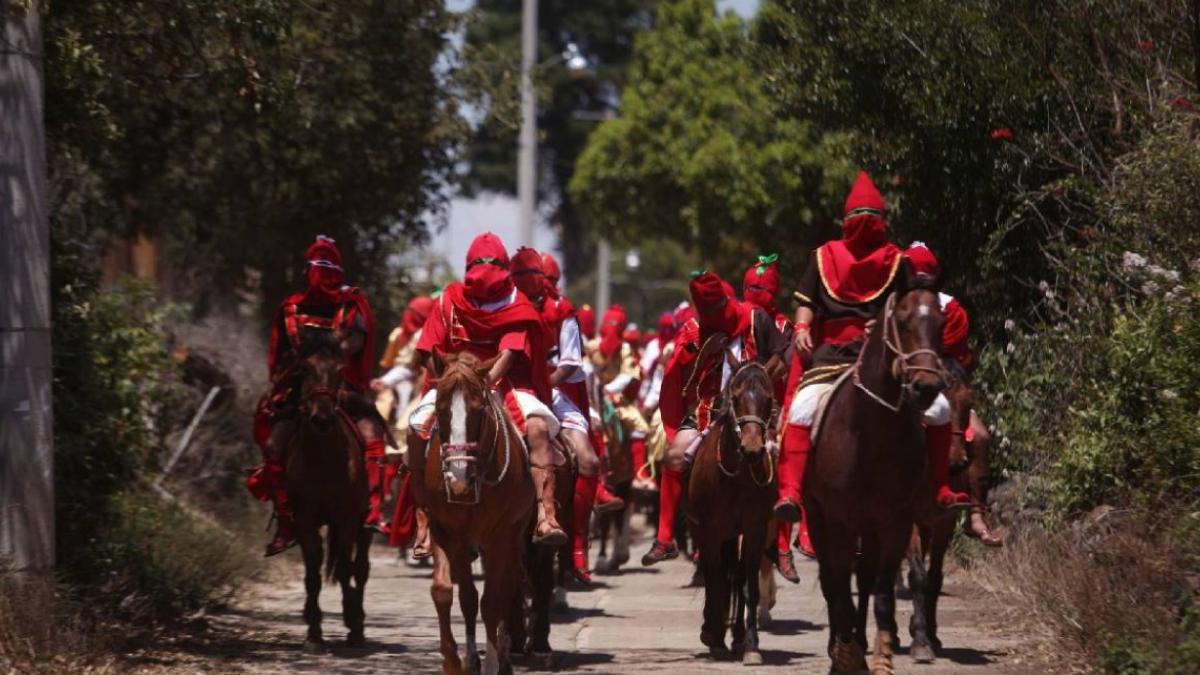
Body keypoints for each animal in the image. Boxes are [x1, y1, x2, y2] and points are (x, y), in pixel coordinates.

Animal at [284, 338, 369, 648]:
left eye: (340, 369)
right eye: (305, 368)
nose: (321, 418)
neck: (324, 461)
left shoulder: (346, 519)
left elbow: (345, 568)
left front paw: (353, 622)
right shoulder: (304, 519)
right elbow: (312, 570)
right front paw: (314, 628)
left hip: (364, 526)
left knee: (360, 569)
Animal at [422, 353, 535, 672]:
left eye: (479, 411)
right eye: (440, 409)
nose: (458, 479)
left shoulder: (499, 538)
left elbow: (492, 601)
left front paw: (492, 662)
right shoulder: (445, 531)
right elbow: (448, 593)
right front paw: (455, 660)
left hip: (513, 539)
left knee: (508, 588)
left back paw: (505, 654)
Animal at [686, 353, 777, 662]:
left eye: (769, 399)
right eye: (735, 398)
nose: (752, 449)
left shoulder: (755, 527)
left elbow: (747, 582)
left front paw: (750, 645)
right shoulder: (709, 529)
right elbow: (714, 579)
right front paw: (713, 636)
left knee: (736, 576)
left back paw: (736, 637)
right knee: (718, 575)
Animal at [806, 288, 945, 672]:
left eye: (941, 323)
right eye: (902, 321)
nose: (927, 386)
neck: (870, 434)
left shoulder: (895, 522)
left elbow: (882, 592)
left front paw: (880, 657)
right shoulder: (837, 522)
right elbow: (839, 589)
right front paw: (845, 655)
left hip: (869, 527)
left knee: (865, 580)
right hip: (818, 517)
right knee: (832, 582)